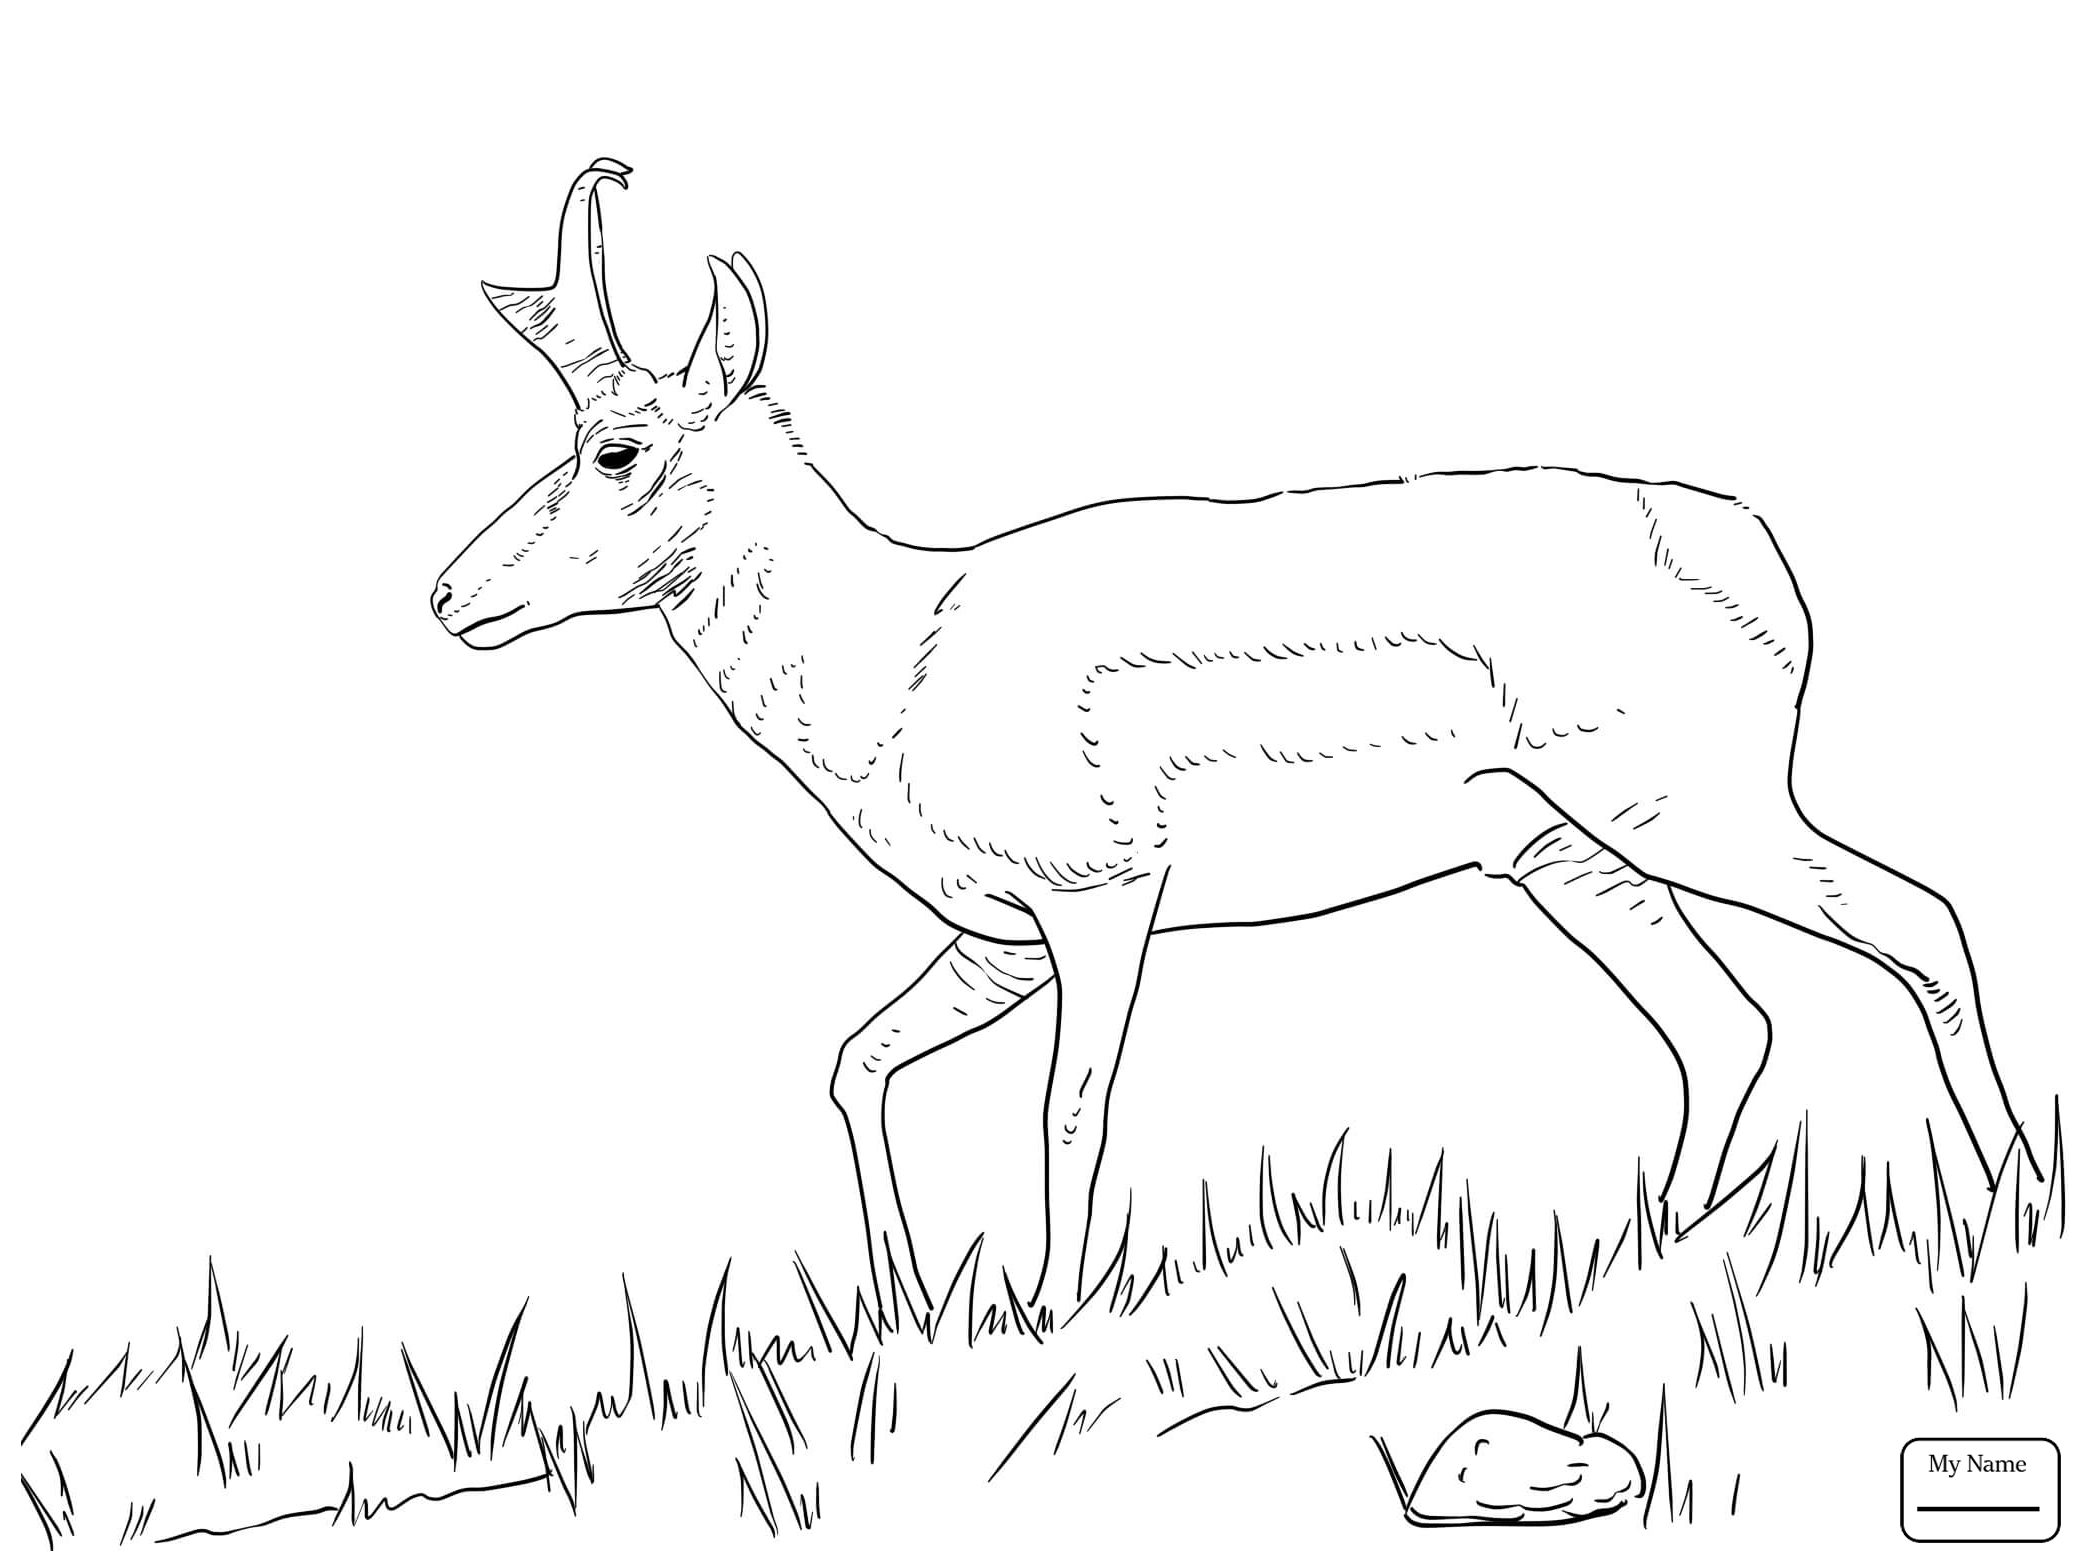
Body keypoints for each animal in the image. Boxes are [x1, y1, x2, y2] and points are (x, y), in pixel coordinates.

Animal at [433, 160, 2038, 1324]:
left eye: (617, 448)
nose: (447, 594)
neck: (893, 662)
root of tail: (1762, 554)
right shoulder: (996, 935)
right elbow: (854, 1060)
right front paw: (904, 1297)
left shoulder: (1099, 894)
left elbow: (1069, 1110)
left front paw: (1051, 1314)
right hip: (1562, 850)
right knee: (1729, 1018)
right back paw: (1641, 1254)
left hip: (1685, 804)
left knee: (1916, 917)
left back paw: (2018, 1204)